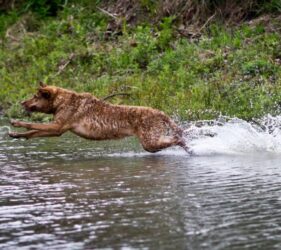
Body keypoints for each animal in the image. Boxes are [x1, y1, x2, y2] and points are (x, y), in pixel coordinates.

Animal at [9, 84, 188, 152]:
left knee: (176, 139)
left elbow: (31, 124)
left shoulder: (57, 127)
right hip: (152, 140)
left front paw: (16, 122)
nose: (21, 102)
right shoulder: (56, 130)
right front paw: (16, 134)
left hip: (149, 141)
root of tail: (160, 112)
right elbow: (31, 133)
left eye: (35, 96)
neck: (62, 101)